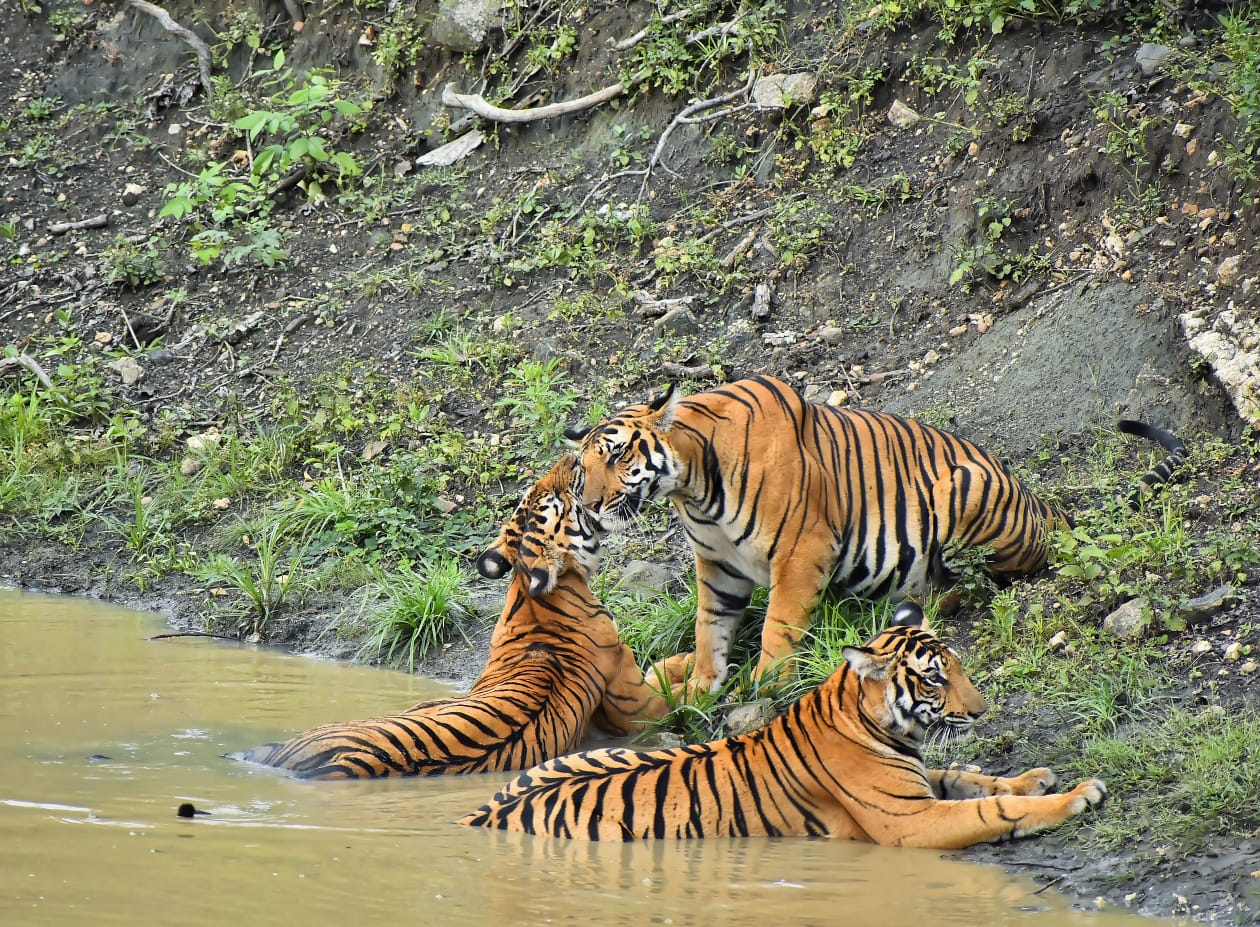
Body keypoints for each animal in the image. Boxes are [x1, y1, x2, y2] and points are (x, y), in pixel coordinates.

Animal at [221, 455, 685, 780]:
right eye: (559, 500)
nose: (573, 458)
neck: (536, 600)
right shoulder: (636, 705)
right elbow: (671, 680)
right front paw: (691, 665)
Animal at [461, 602, 1103, 846]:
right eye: (934, 680)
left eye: (960, 666)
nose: (982, 711)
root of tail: (478, 812)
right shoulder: (910, 821)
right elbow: (992, 808)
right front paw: (1076, 795)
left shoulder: (921, 783)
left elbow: (974, 777)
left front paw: (1037, 776)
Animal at [567, 372, 1184, 690]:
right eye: (582, 468)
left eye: (618, 455)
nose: (590, 505)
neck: (693, 490)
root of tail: (1037, 499)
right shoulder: (718, 567)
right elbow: (708, 630)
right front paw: (699, 686)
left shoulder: (803, 549)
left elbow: (776, 626)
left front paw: (763, 684)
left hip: (961, 494)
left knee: (979, 584)